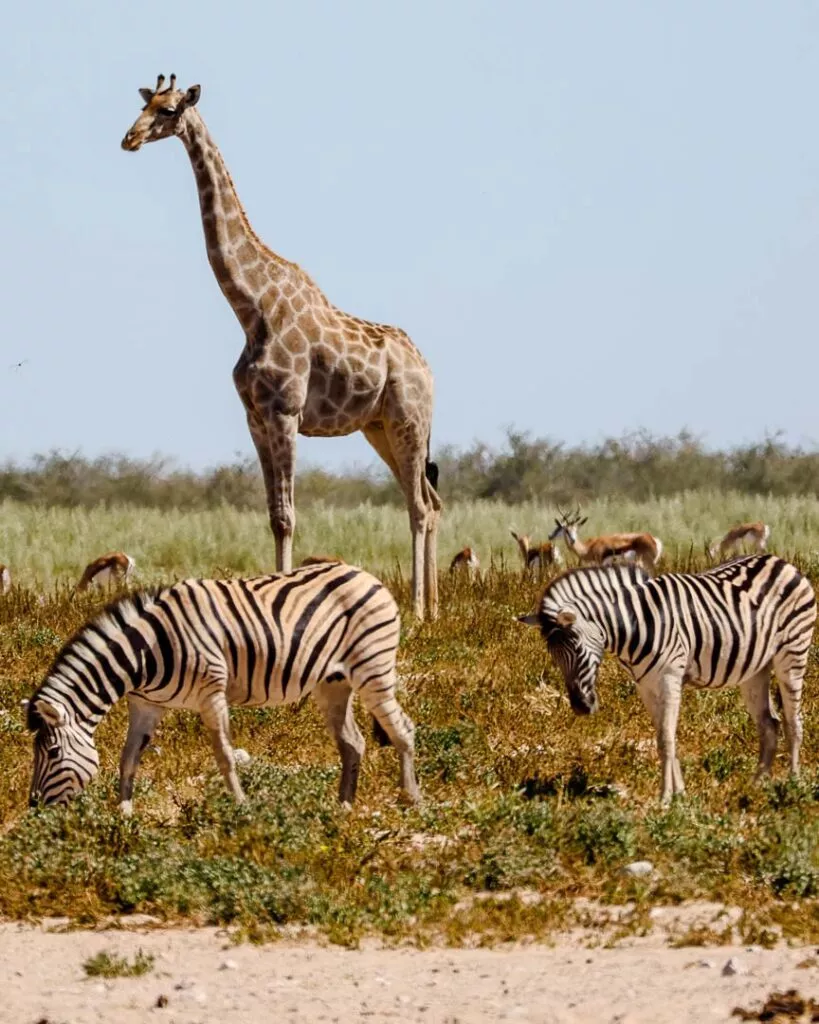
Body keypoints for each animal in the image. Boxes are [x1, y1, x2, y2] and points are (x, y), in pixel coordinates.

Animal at [28, 561, 419, 813]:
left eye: (53, 753)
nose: (33, 809)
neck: (145, 653)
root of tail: (366, 575)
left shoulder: (211, 694)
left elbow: (225, 756)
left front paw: (241, 808)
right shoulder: (146, 704)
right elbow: (128, 758)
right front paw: (123, 815)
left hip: (373, 669)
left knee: (402, 729)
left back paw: (411, 800)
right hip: (333, 683)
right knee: (353, 743)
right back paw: (343, 808)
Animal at [517, 555, 816, 803]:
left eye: (577, 648)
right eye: (554, 658)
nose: (581, 706)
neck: (634, 625)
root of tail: (780, 561)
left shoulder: (670, 678)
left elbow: (665, 740)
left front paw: (664, 799)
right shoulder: (646, 686)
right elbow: (665, 736)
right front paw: (679, 794)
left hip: (792, 654)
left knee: (793, 722)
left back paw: (792, 785)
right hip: (755, 670)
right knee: (769, 724)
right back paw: (756, 785)